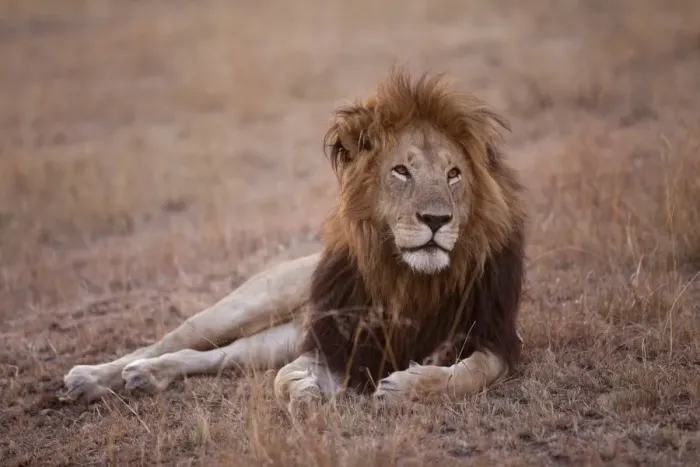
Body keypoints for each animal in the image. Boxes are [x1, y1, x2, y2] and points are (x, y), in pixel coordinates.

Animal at [63, 67, 527, 409]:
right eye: (401, 171)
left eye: (454, 174)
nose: (436, 219)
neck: (410, 280)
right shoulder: (331, 341)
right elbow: (283, 380)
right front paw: (303, 391)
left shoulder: (495, 339)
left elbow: (468, 375)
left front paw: (408, 386)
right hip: (250, 304)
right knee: (171, 339)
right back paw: (92, 377)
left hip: (274, 340)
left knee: (210, 355)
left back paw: (148, 375)